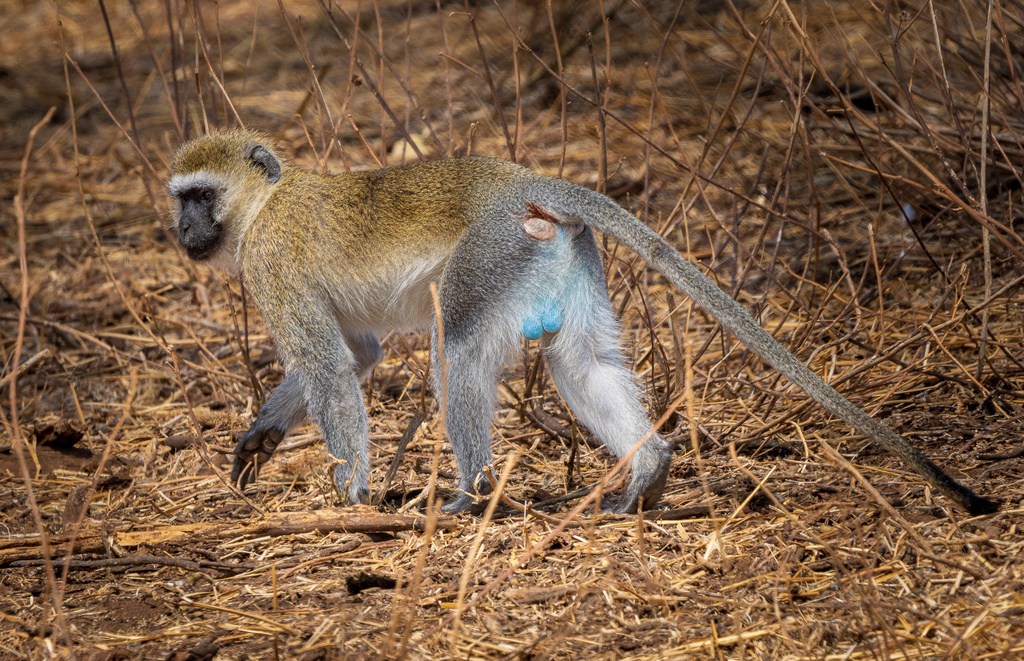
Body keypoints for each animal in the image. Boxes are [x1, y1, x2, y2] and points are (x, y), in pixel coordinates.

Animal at [169, 130, 999, 517]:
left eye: (200, 194)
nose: (179, 229)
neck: (265, 203)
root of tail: (525, 181)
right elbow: (362, 353)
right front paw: (262, 435)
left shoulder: (269, 262)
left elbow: (333, 367)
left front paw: (351, 496)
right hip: (557, 254)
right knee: (581, 363)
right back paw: (649, 468)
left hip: (492, 249)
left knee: (458, 352)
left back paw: (473, 494)